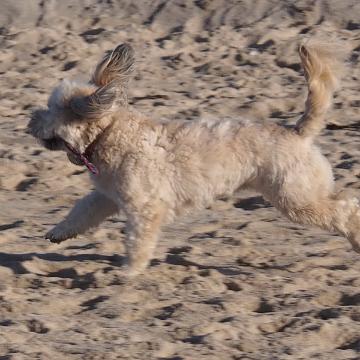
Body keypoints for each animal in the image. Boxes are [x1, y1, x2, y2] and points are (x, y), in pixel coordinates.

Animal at [28, 40, 360, 276]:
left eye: (50, 110)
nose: (30, 121)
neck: (110, 132)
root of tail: (298, 131)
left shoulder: (145, 209)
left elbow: (137, 241)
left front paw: (129, 271)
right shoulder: (106, 197)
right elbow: (81, 211)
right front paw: (59, 232)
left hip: (296, 199)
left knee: (345, 210)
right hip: (302, 194)